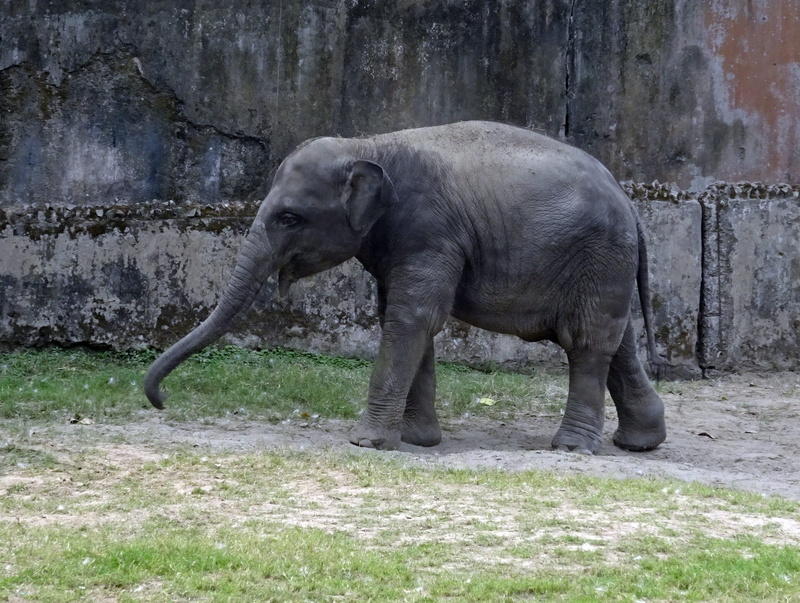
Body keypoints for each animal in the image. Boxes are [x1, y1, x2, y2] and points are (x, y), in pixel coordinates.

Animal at [145, 121, 667, 455]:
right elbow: (404, 319)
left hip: (598, 255)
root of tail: (630, 201)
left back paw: (572, 449)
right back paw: (640, 443)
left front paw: (368, 443)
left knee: (586, 340)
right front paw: (417, 441)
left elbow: (412, 316)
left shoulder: (430, 230)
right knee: (617, 340)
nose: (162, 401)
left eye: (290, 218)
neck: (368, 144)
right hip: (604, 264)